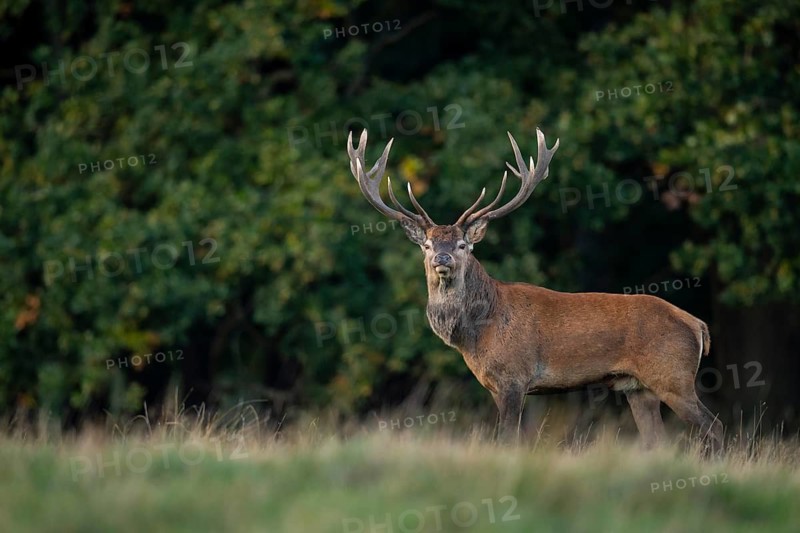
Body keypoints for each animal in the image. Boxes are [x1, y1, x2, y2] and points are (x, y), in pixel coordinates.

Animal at [346, 128, 723, 451]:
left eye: (463, 244)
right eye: (426, 244)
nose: (442, 257)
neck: (477, 332)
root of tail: (698, 325)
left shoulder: (514, 377)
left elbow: (508, 440)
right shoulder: (496, 385)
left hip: (673, 376)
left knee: (714, 425)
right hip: (638, 387)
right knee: (656, 440)